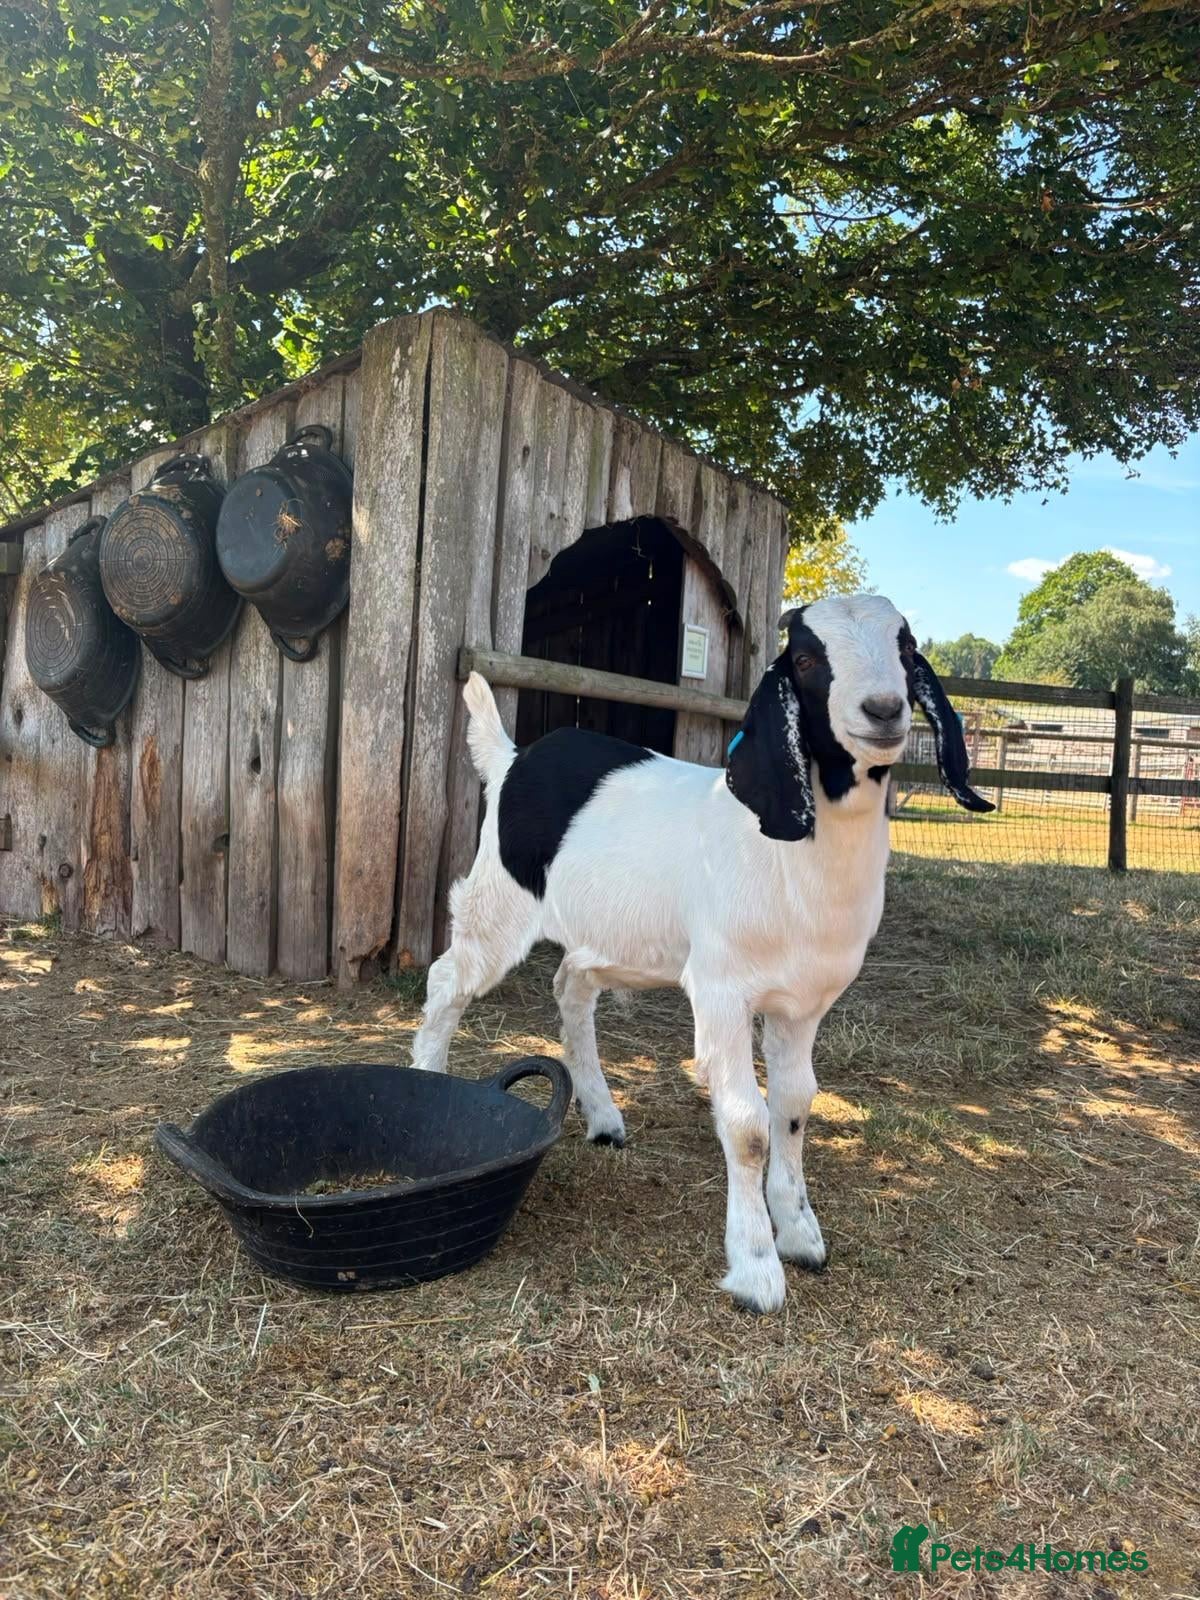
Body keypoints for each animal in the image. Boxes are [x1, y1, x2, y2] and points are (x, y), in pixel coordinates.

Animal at [412, 594, 992, 1312]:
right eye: (806, 659)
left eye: (906, 648)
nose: (883, 710)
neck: (788, 857)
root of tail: (512, 759)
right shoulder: (722, 989)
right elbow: (748, 1126)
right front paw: (756, 1270)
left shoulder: (803, 1004)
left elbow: (795, 1107)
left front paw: (801, 1235)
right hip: (500, 902)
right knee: (448, 980)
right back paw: (430, 1084)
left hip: (607, 930)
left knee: (571, 987)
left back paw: (603, 1116)